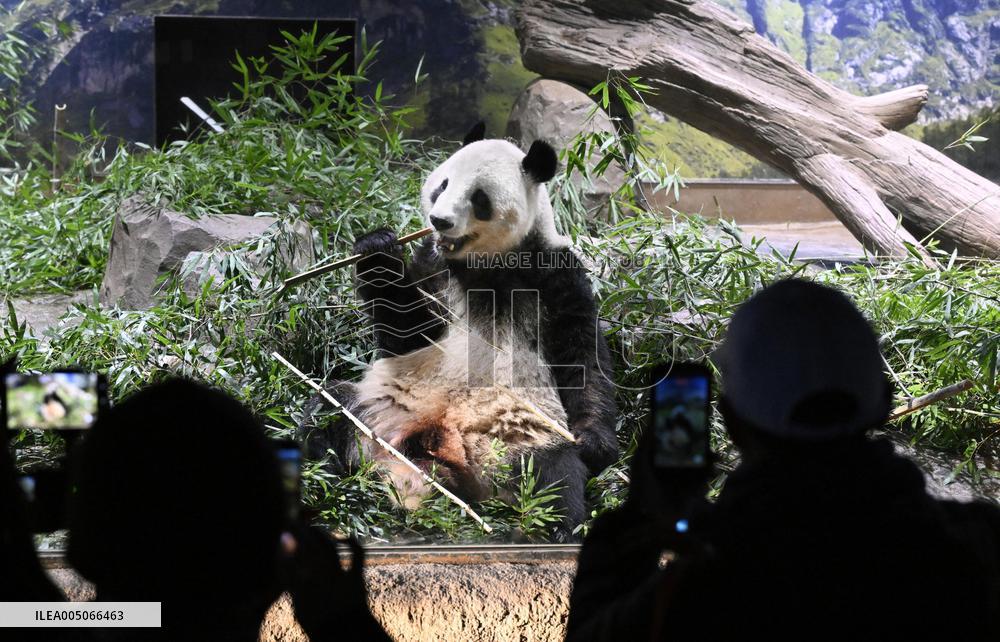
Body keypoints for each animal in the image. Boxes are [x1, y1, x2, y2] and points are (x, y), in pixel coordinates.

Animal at [301, 123, 618, 539]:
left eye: (479, 198)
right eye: (442, 185)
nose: (439, 220)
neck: (484, 264)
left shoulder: (554, 274)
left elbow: (580, 353)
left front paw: (594, 441)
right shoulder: (433, 267)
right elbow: (406, 334)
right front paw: (377, 247)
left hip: (522, 441)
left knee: (555, 482)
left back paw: (549, 529)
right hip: (380, 412)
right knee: (329, 410)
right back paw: (325, 476)